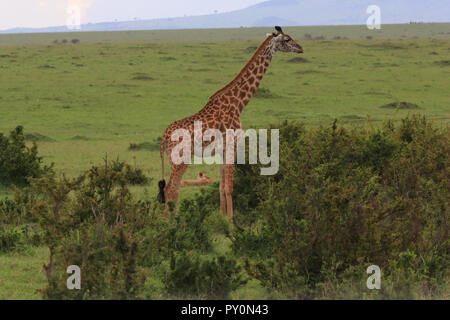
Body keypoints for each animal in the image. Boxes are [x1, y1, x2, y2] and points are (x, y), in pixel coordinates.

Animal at [157, 26, 302, 219]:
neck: (238, 104)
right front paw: (232, 220)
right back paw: (170, 220)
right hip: (180, 159)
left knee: (169, 189)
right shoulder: (233, 145)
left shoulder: (222, 150)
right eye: (286, 39)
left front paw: (222, 217)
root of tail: (164, 137)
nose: (300, 48)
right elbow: (229, 187)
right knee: (171, 189)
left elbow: (221, 187)